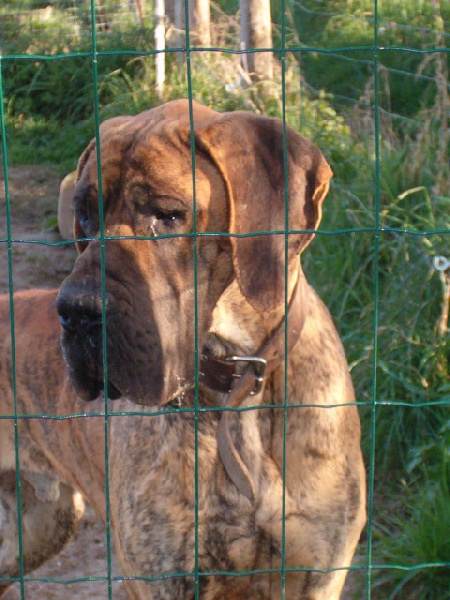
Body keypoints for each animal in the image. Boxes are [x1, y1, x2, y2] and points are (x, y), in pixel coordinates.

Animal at [0, 101, 366, 596]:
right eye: (85, 217)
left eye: (168, 215)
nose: (74, 310)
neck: (237, 378)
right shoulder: (162, 576)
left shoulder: (318, 575)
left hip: (42, 523)